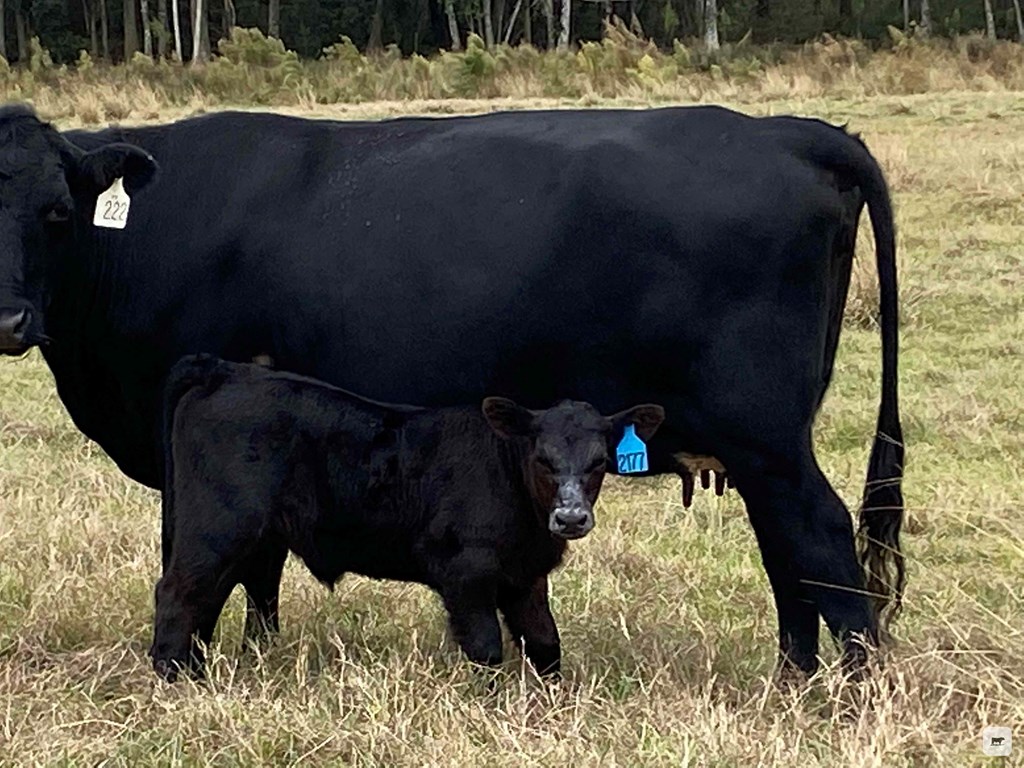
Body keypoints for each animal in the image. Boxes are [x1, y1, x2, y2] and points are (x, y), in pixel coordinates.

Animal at [151, 354, 663, 679]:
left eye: (599, 461)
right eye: (542, 458)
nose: (571, 518)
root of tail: (227, 371)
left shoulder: (526, 578)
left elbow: (544, 643)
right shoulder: (465, 573)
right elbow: (486, 646)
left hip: (250, 540)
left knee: (215, 597)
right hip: (216, 529)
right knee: (179, 594)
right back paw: (175, 680)